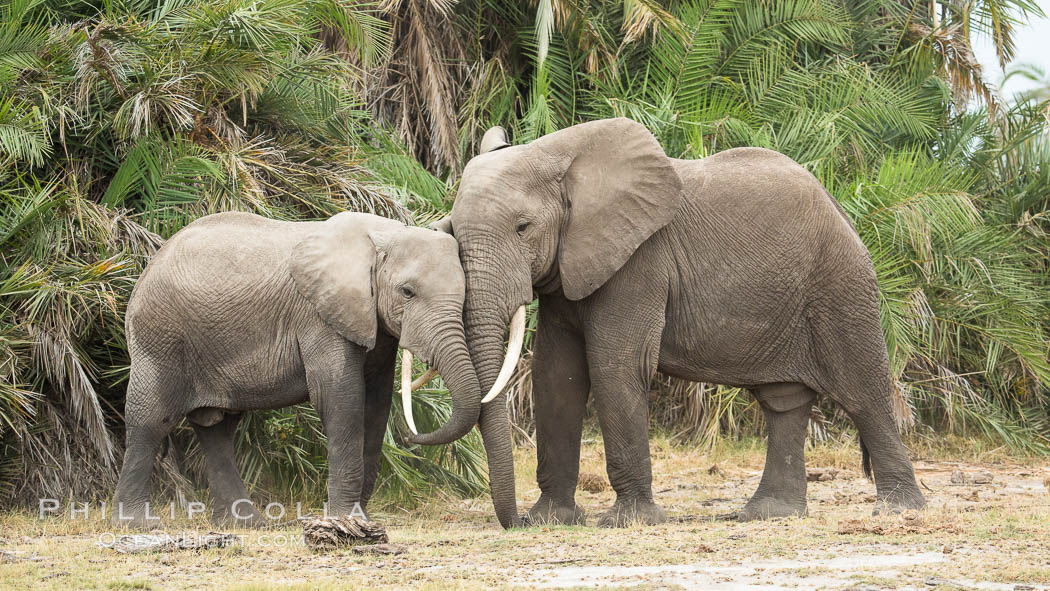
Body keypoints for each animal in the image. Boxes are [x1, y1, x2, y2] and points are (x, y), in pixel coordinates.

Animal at [111, 212, 480, 526]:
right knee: (151, 420)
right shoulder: (318, 317)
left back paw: (248, 525)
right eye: (407, 292)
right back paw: (136, 524)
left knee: (218, 428)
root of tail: (149, 266)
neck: (382, 235)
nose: (410, 436)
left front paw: (359, 520)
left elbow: (376, 405)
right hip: (159, 337)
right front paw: (344, 520)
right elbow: (340, 399)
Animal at [443, 118, 928, 529]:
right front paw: (551, 520)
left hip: (840, 284)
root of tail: (838, 206)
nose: (516, 523)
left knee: (863, 393)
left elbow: (614, 365)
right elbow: (556, 376)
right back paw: (769, 514)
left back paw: (899, 510)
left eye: (523, 227)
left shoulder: (640, 261)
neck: (561, 155)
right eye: (450, 230)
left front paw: (628, 522)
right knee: (783, 402)